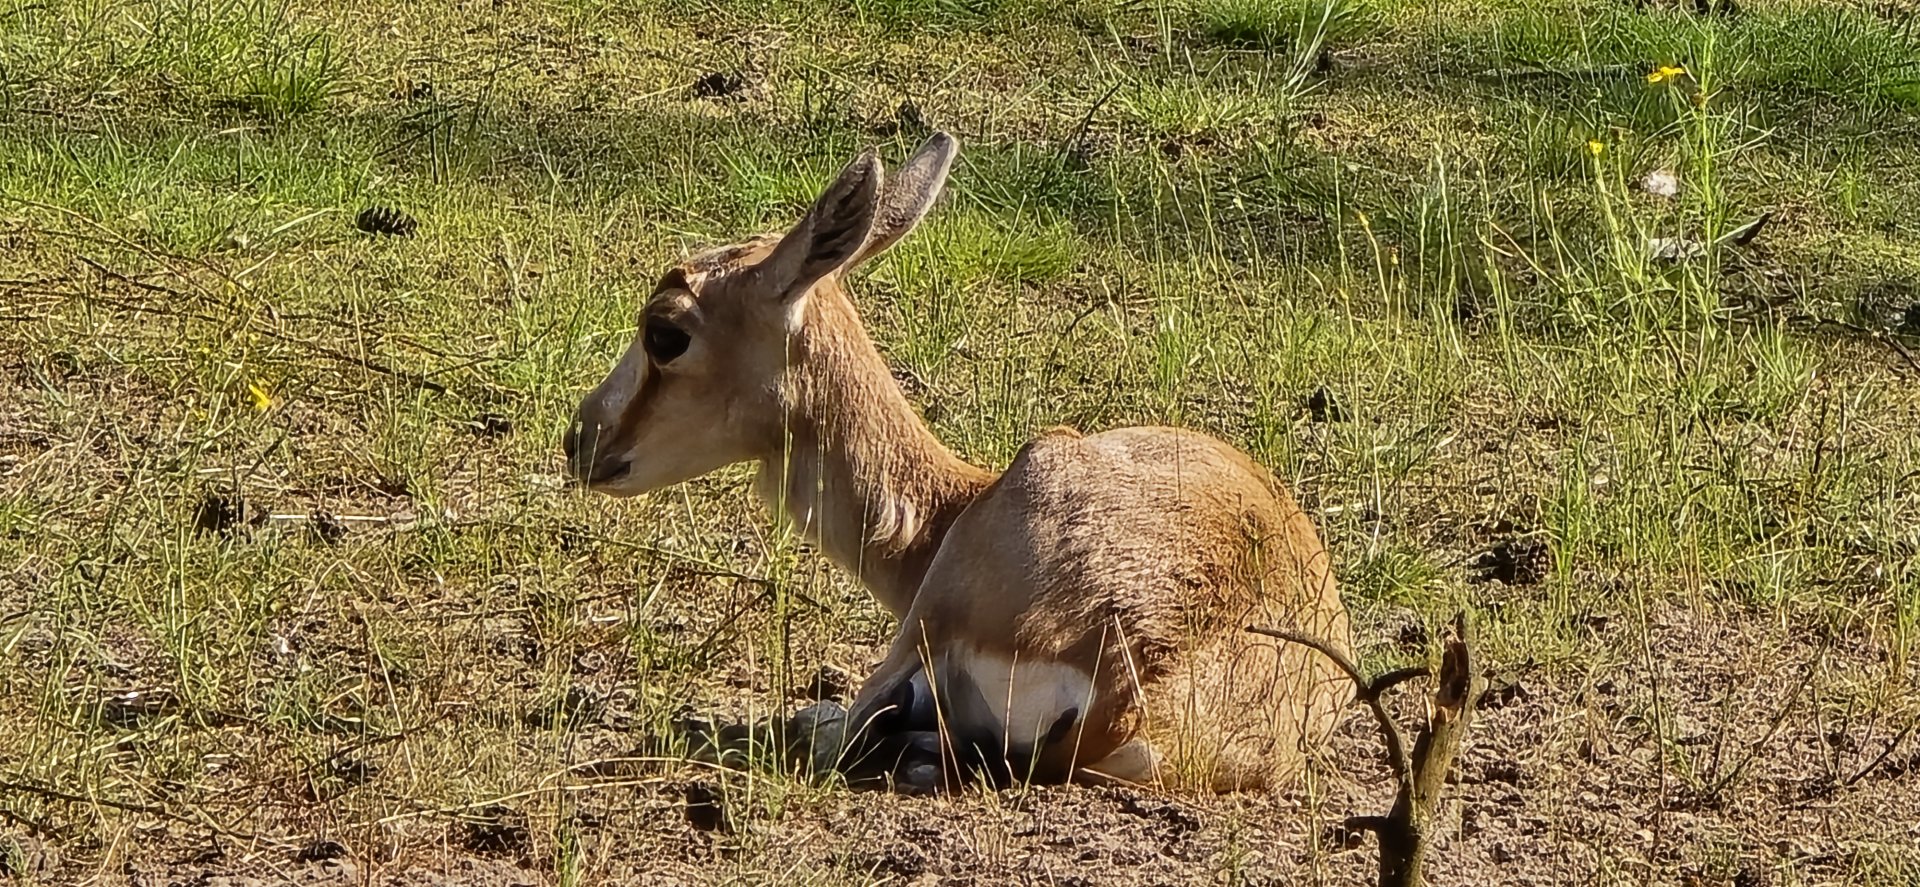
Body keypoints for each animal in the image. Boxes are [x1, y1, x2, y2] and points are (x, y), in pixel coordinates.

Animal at [564, 132, 1353, 792]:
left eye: (665, 332)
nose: (582, 440)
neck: (959, 501)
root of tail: (1135, 691)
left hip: (928, 620)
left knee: (852, 730)